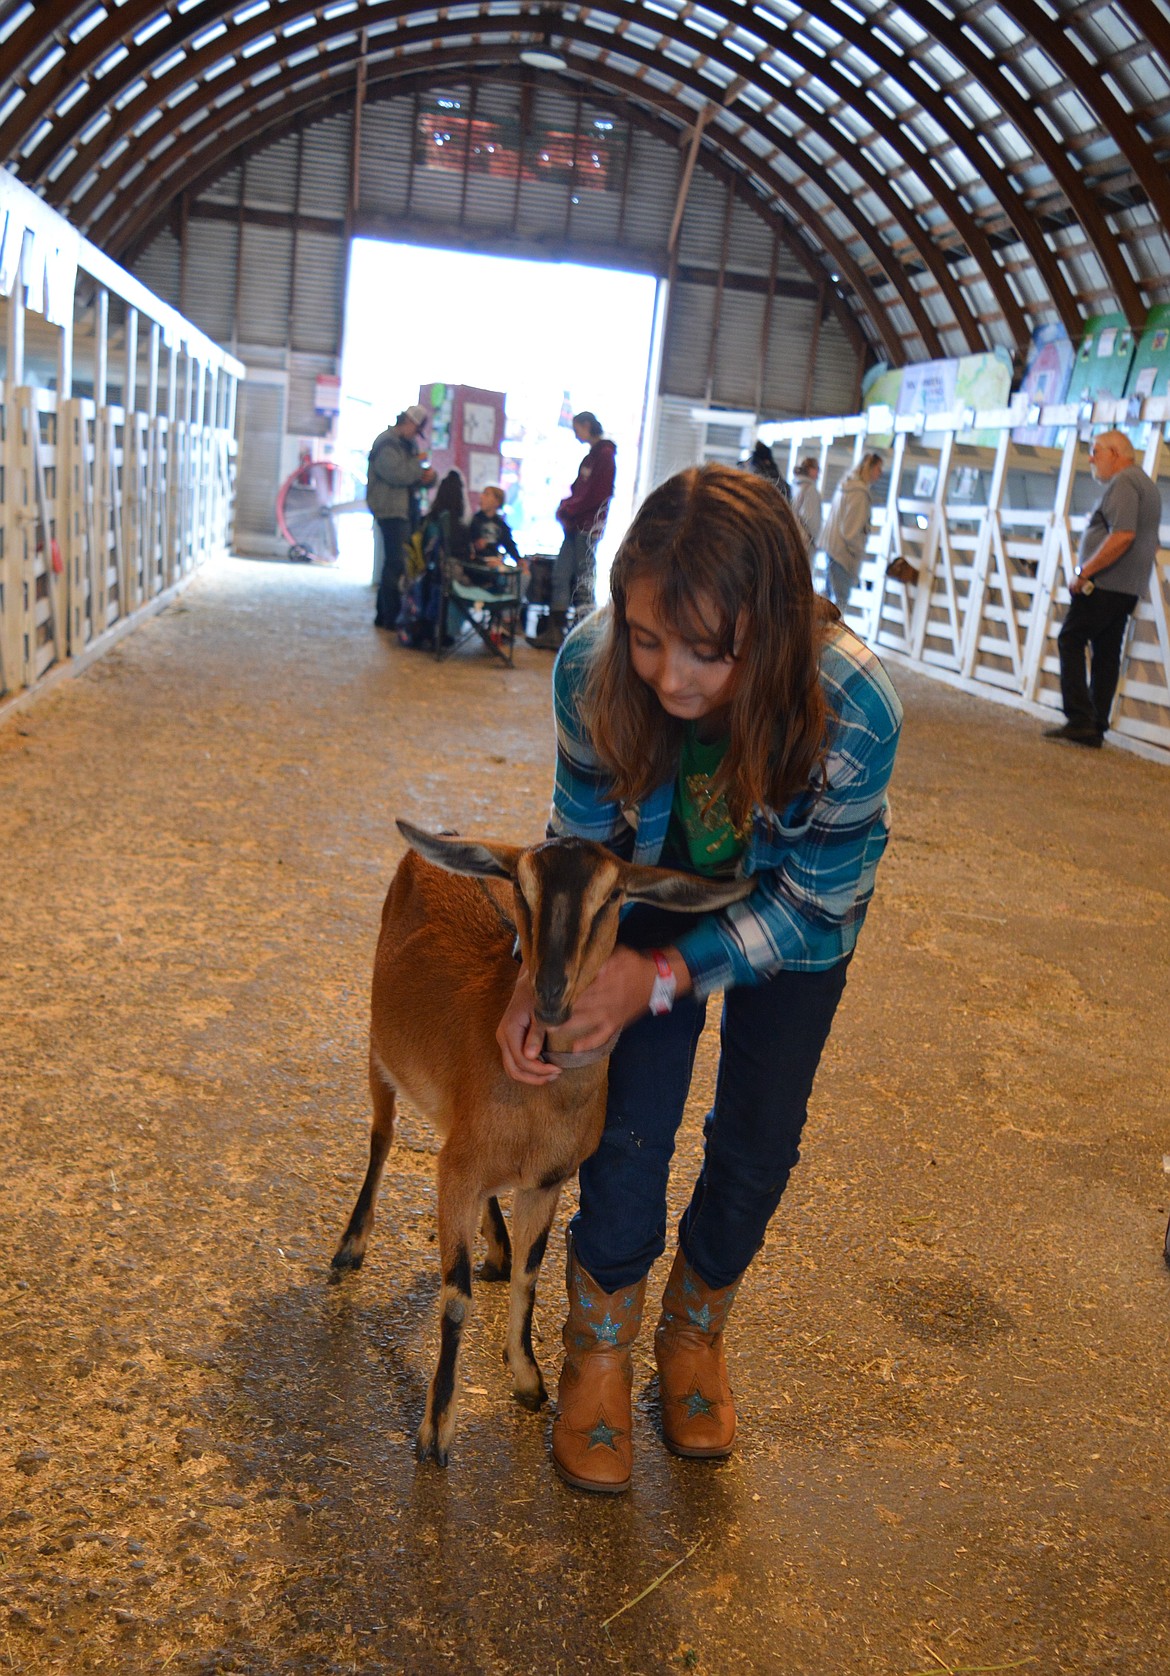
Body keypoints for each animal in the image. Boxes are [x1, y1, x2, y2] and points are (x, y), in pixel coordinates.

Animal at [330, 821, 747, 1468]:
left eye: (611, 898)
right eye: (523, 890)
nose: (549, 992)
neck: (536, 1107)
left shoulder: (546, 1181)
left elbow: (530, 1274)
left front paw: (527, 1378)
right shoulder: (457, 1171)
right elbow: (455, 1296)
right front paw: (435, 1433)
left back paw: (496, 1246)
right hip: (379, 1048)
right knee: (382, 1135)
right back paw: (351, 1245)